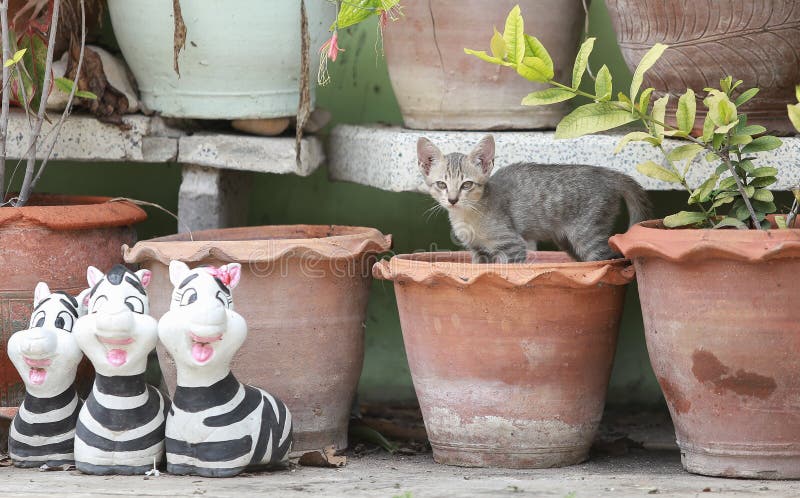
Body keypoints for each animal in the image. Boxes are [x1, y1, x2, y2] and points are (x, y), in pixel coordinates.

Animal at [418, 134, 648, 262]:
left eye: (467, 184)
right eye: (441, 184)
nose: (453, 200)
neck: (468, 217)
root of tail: (606, 173)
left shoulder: (513, 245)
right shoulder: (479, 252)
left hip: (588, 235)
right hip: (568, 241)